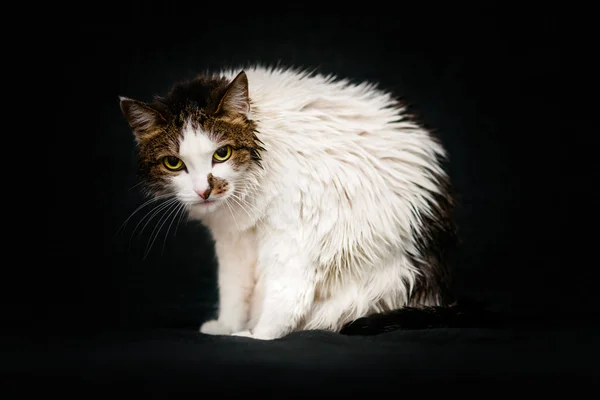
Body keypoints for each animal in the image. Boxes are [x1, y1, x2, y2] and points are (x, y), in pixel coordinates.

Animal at [118, 65, 454, 340]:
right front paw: (226, 327)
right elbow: (232, 289)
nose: (204, 191)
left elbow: (286, 294)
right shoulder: (232, 241)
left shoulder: (296, 230)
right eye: (173, 163)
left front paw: (258, 336)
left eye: (222, 153)